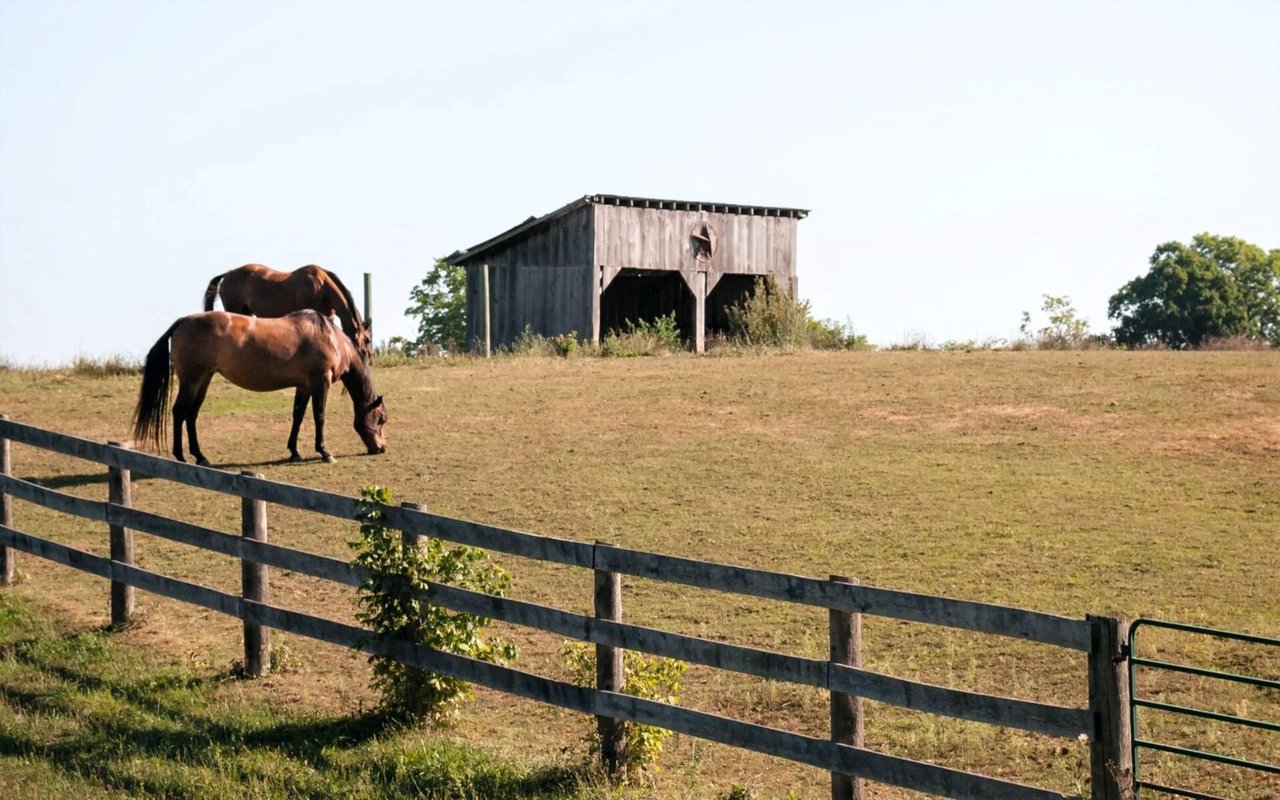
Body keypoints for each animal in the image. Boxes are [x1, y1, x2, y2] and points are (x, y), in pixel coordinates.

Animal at [132, 310, 387, 466]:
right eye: (381, 419)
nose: (382, 448)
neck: (331, 338)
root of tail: (184, 321)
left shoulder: (304, 387)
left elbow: (297, 416)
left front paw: (294, 452)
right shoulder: (320, 384)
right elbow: (319, 417)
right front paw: (325, 452)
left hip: (203, 380)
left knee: (191, 415)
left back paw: (200, 457)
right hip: (191, 381)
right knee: (179, 413)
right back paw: (181, 457)